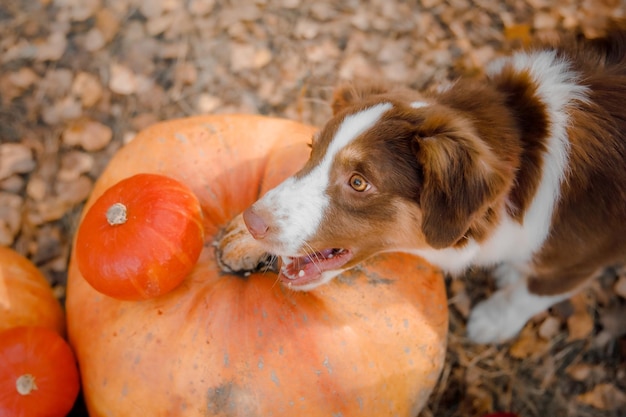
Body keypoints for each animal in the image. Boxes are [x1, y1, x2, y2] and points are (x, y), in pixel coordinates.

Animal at [222, 28, 620, 342]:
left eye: (358, 182)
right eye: (311, 149)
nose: (251, 222)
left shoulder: (583, 256)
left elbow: (532, 293)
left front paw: (492, 322)